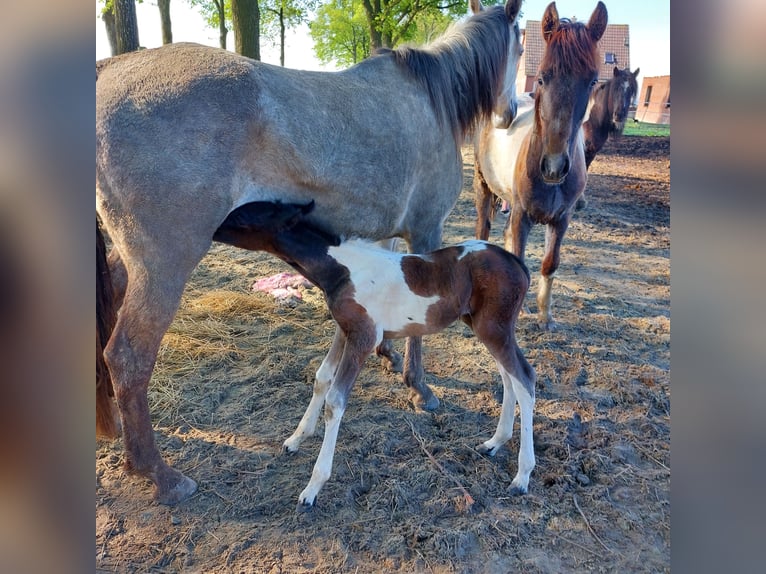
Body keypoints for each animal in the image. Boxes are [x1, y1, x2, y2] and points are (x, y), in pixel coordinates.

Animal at [214, 201, 540, 508]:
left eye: (244, 218)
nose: (213, 228)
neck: (343, 269)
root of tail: (516, 262)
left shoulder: (364, 338)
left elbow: (335, 401)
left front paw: (313, 488)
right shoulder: (345, 330)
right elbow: (322, 378)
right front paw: (296, 438)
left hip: (494, 328)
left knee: (525, 378)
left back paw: (522, 475)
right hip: (483, 326)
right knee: (509, 377)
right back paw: (495, 442)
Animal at [472, 0, 608, 330]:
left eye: (593, 81)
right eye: (543, 77)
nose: (554, 167)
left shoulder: (562, 219)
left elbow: (549, 263)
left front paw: (545, 316)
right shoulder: (522, 215)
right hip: (483, 185)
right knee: (483, 229)